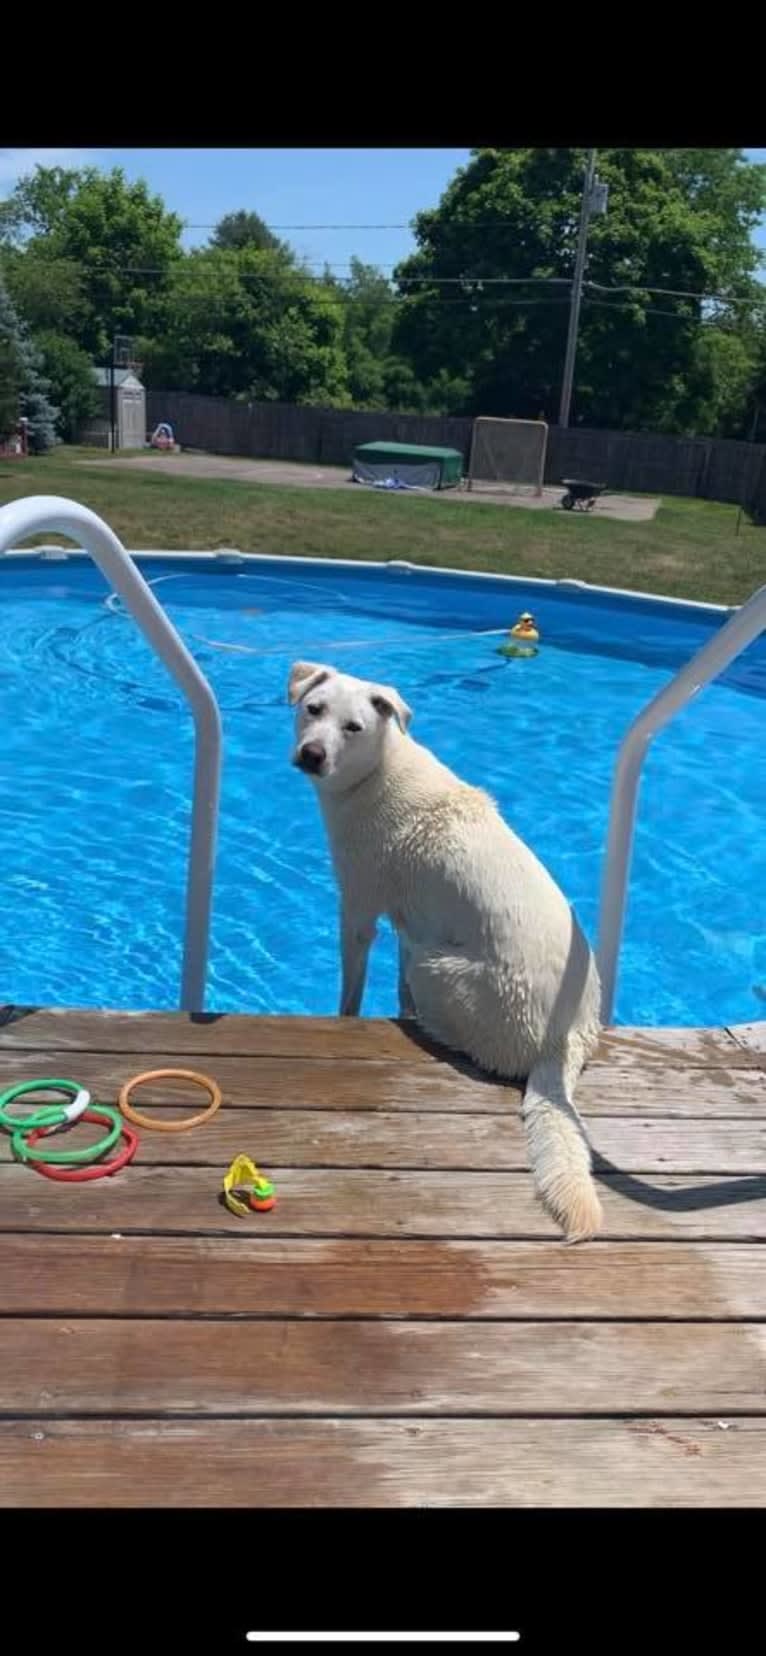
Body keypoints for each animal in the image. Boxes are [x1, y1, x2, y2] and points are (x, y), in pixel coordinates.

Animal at [289, 659, 605, 1245]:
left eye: (354, 728)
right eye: (313, 709)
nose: (312, 754)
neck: (376, 771)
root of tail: (569, 1038)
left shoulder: (359, 911)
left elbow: (351, 992)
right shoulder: (407, 922)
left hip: (436, 966)